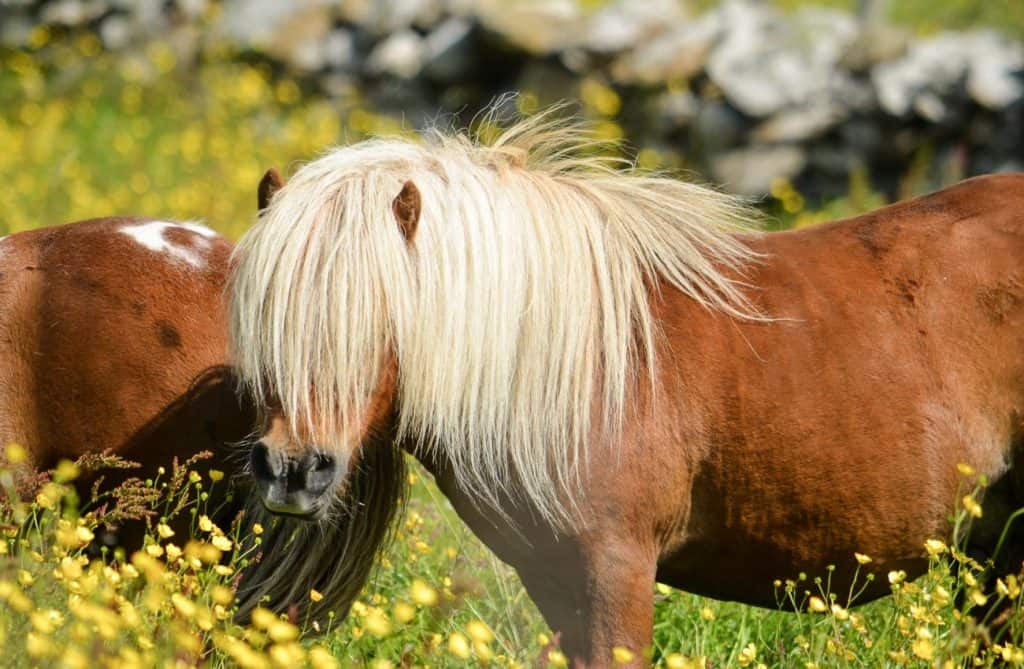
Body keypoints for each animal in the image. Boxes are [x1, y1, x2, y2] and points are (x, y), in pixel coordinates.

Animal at [230, 112, 1024, 663]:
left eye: (376, 319)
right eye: (268, 317)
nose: (293, 470)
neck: (575, 363)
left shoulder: (616, 570)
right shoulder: (556, 581)